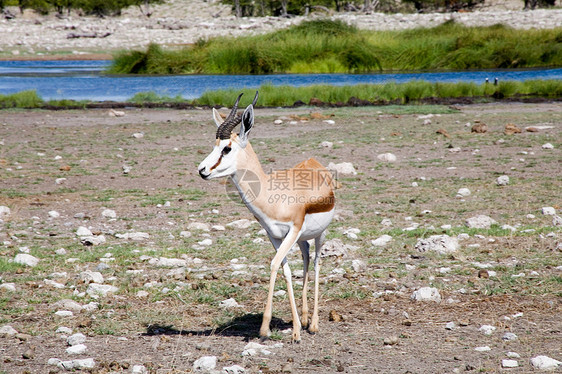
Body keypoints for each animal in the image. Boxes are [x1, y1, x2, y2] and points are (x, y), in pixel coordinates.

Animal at [199, 91, 334, 342]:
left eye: (227, 148)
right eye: (215, 145)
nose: (202, 170)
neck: (273, 197)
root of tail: (313, 162)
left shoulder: (292, 230)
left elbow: (273, 265)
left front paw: (265, 329)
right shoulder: (274, 235)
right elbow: (285, 270)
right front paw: (296, 328)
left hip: (320, 234)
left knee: (317, 263)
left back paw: (314, 324)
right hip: (302, 239)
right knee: (306, 258)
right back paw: (305, 318)